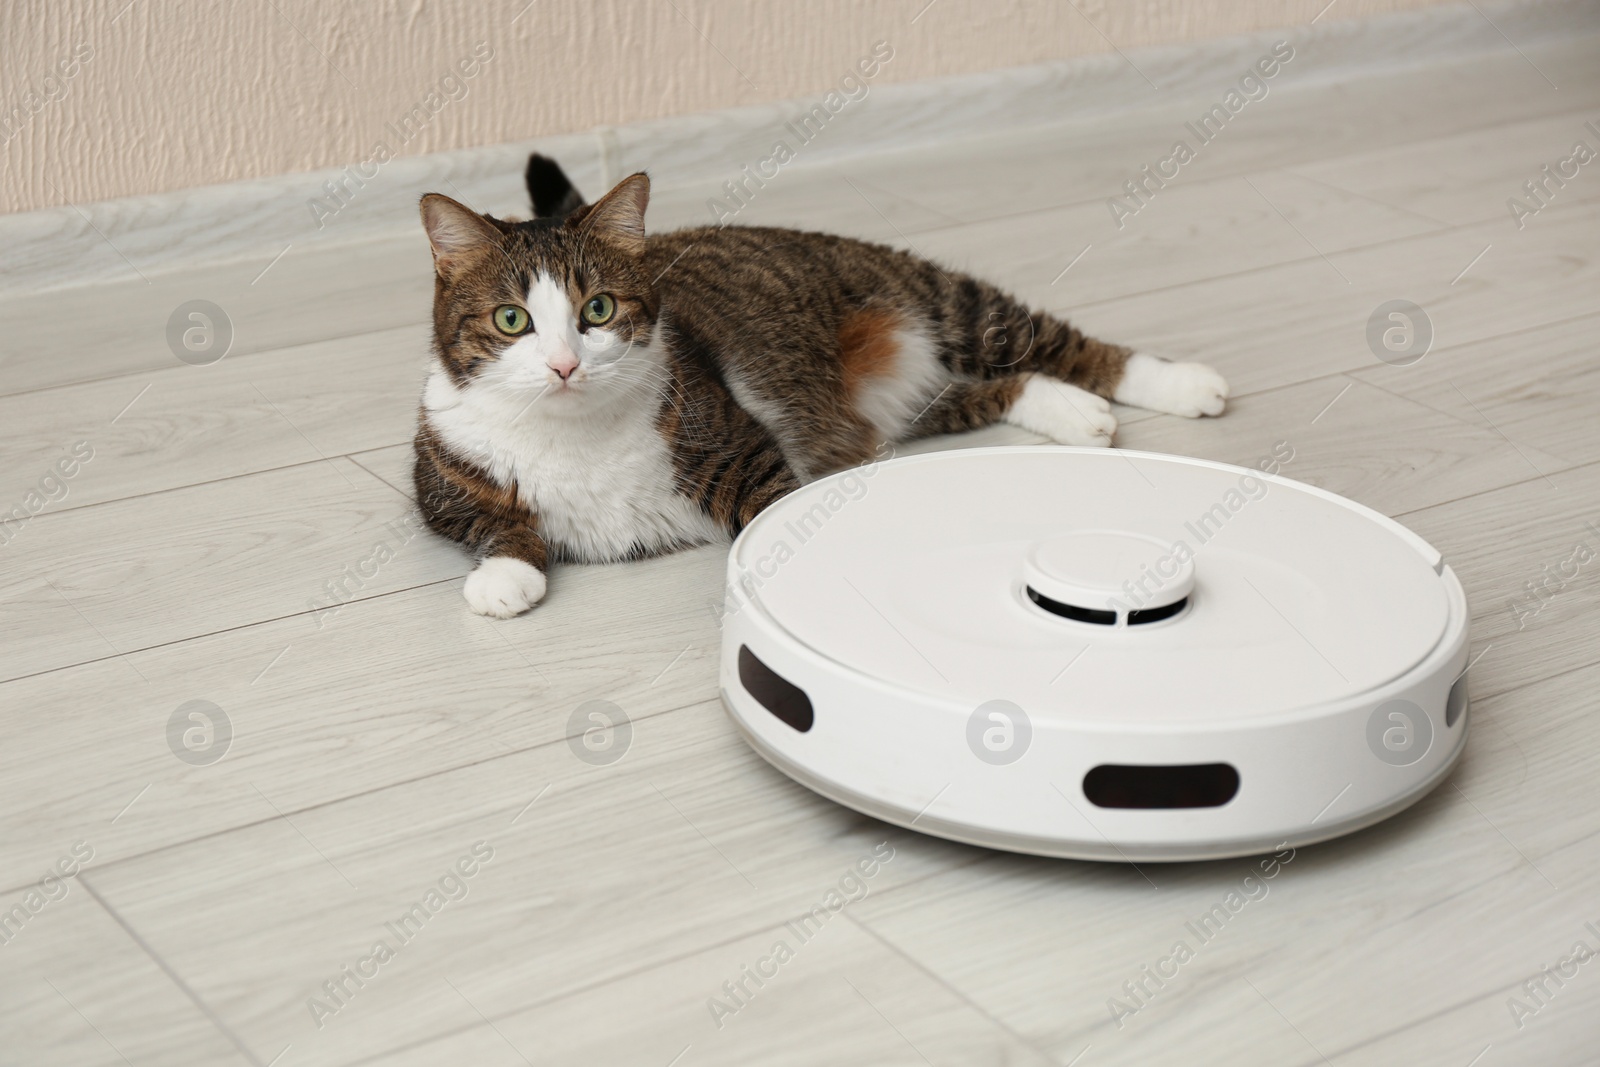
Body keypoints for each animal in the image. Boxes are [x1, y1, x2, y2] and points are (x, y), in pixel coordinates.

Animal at [409, 151, 1222, 617]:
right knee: (985, 391)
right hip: (896, 405)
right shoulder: (439, 479)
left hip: (941, 301)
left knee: (1051, 341)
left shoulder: (738, 443)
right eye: (512, 319)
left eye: (599, 310)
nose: (565, 365)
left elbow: (769, 503)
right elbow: (490, 519)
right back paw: (1079, 413)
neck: (572, 430)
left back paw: (1181, 383)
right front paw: (505, 577)